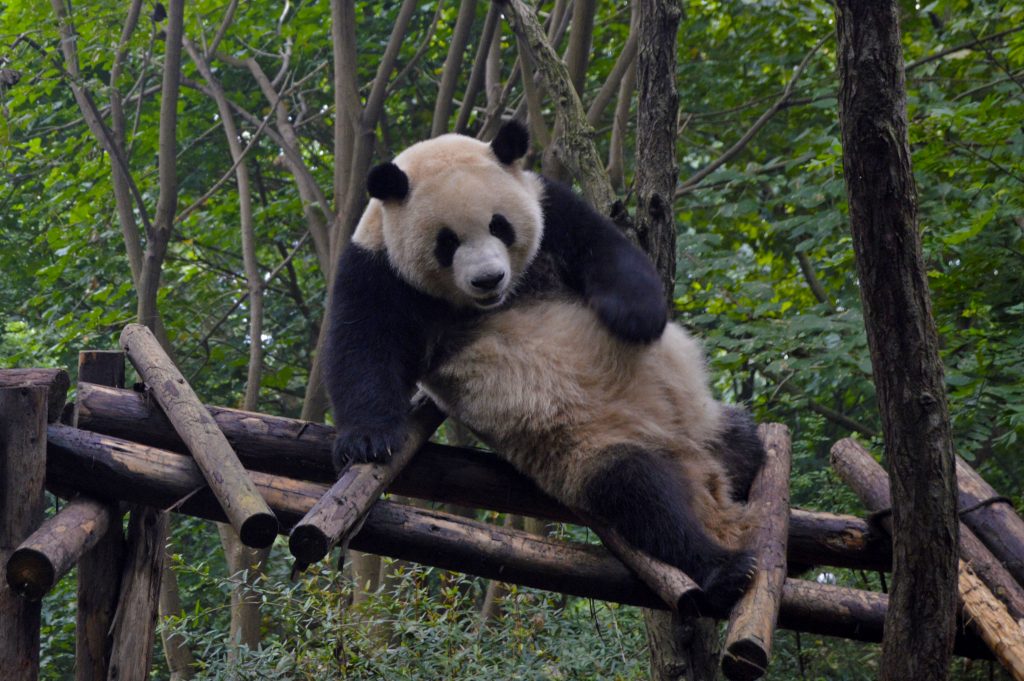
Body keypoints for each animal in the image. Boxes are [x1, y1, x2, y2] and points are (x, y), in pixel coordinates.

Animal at [324, 120, 766, 613]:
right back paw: (725, 568)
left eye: (500, 225)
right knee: (643, 495)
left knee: (745, 445)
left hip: (706, 423)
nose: (488, 279)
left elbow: (609, 251)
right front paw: (368, 440)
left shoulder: (551, 206)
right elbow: (363, 346)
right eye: (446, 242)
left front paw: (636, 319)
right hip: (592, 451)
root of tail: (704, 478)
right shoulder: (377, 267)